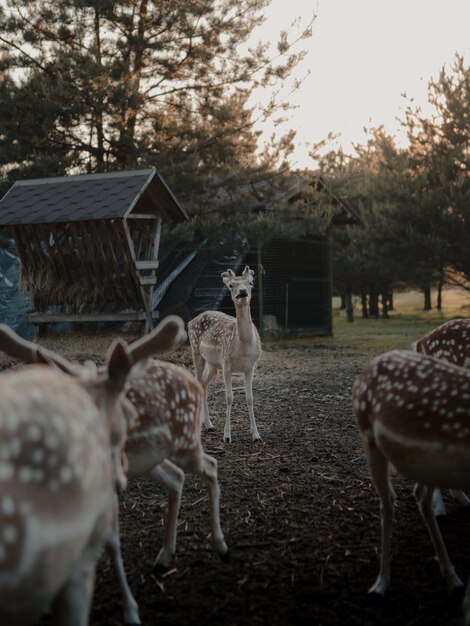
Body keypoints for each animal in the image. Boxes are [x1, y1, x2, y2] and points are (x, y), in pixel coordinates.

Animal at [187, 266, 260, 442]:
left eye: (250, 282)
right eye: (231, 285)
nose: (242, 292)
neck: (244, 345)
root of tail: (190, 321)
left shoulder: (251, 366)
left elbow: (250, 398)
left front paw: (256, 435)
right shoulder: (227, 364)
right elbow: (229, 398)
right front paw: (227, 436)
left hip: (213, 364)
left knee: (204, 384)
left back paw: (209, 425)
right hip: (196, 352)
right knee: (198, 382)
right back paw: (202, 425)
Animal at [352, 348, 470, 620]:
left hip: (426, 464)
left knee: (420, 498)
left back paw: (453, 579)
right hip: (370, 439)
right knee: (388, 503)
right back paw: (381, 584)